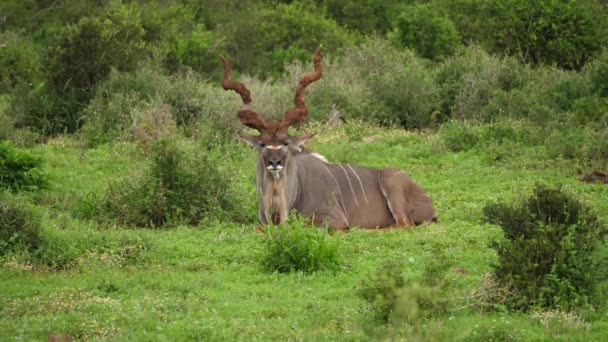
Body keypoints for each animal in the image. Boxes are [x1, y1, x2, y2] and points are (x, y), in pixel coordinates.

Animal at [221, 49, 434, 231]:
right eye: (263, 144)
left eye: (285, 143)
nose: (275, 163)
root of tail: (430, 204)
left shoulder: (333, 219)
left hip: (392, 187)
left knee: (403, 225)